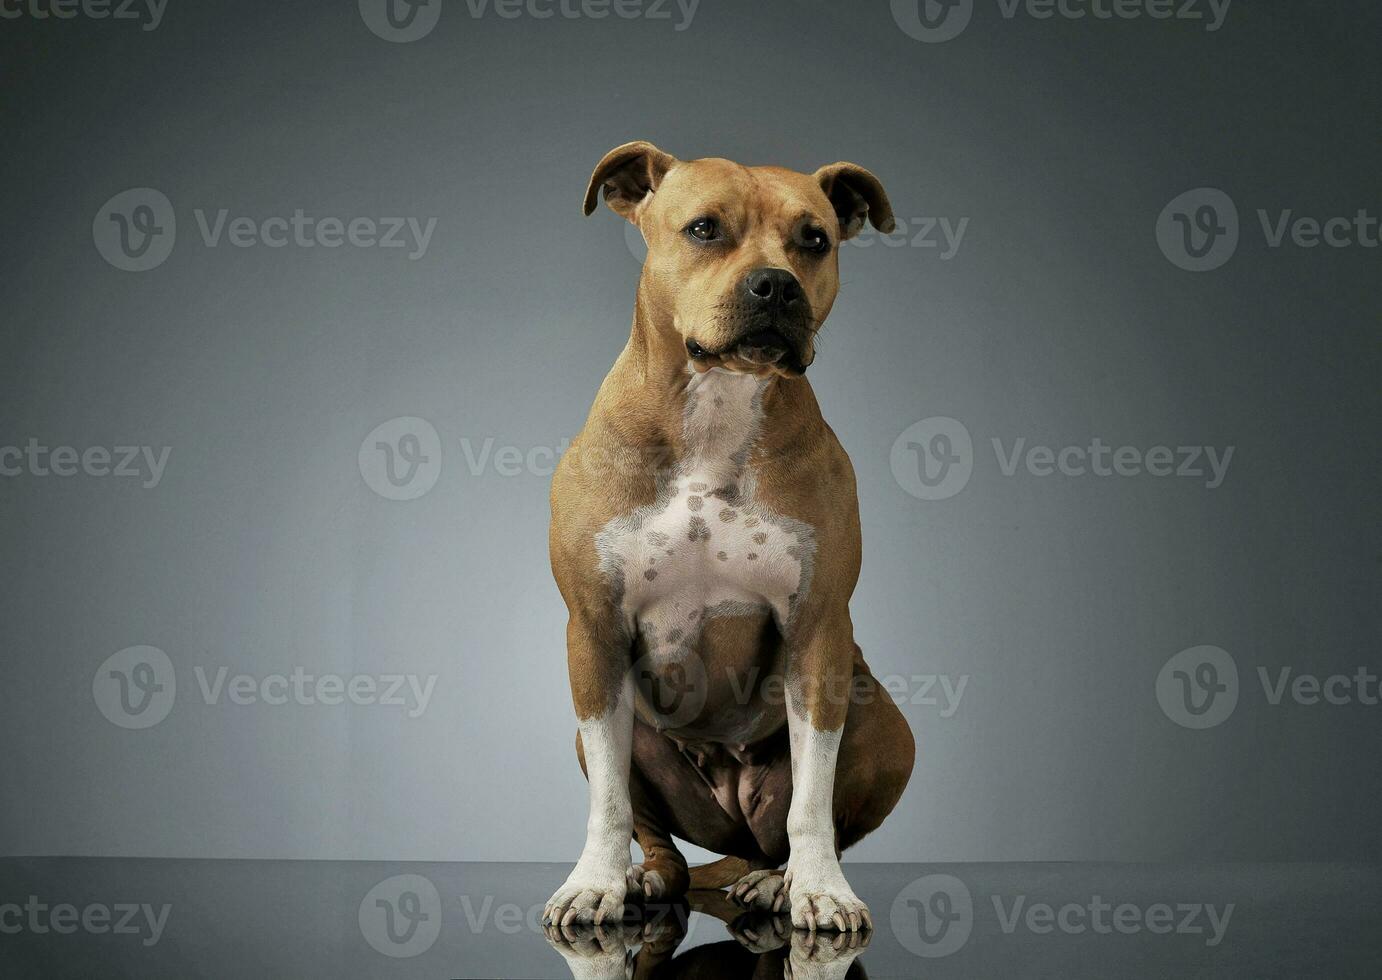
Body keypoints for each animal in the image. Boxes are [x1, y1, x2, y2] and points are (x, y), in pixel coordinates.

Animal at [541, 141, 917, 934]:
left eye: (815, 239)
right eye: (704, 229)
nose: (775, 286)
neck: (715, 405)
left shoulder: (818, 630)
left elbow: (812, 800)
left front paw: (820, 889)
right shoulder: (592, 632)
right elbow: (608, 802)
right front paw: (595, 883)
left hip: (885, 726)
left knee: (792, 825)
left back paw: (777, 880)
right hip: (614, 738)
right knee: (664, 842)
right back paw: (647, 878)